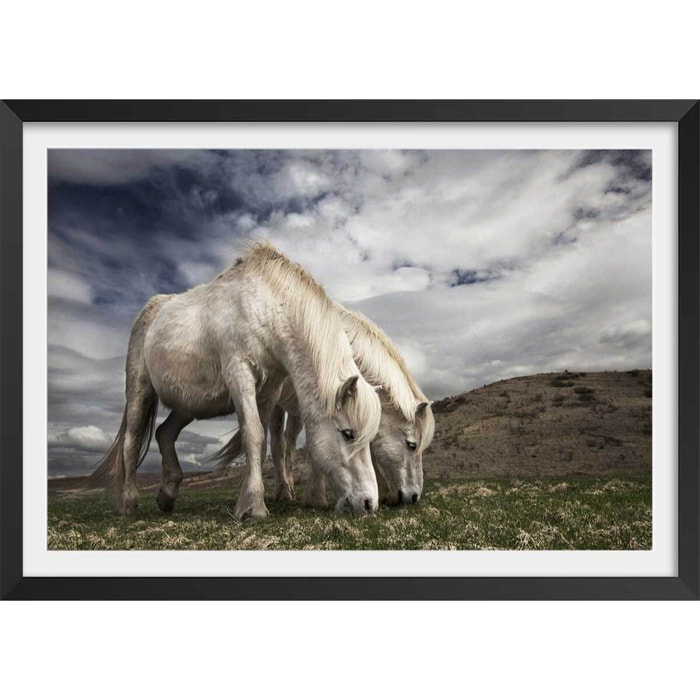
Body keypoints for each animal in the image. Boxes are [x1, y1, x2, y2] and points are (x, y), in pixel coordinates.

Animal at [91, 243, 382, 519]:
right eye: (348, 434)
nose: (369, 504)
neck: (265, 308)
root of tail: (151, 311)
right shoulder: (240, 374)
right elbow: (253, 434)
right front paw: (254, 506)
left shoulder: (270, 390)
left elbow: (261, 442)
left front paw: (249, 500)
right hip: (139, 392)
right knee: (132, 440)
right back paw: (128, 501)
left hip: (188, 406)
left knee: (165, 433)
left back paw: (167, 494)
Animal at [212, 303, 435, 508]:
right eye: (412, 445)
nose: (414, 497)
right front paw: (317, 498)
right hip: (276, 404)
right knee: (277, 443)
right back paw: (282, 491)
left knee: (289, 444)